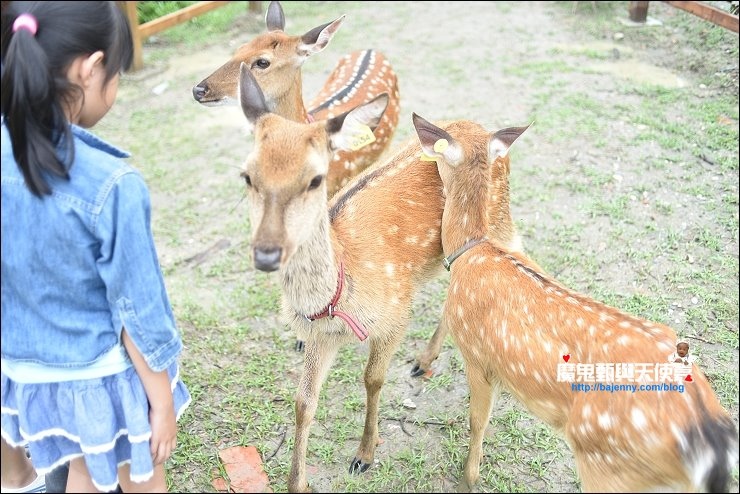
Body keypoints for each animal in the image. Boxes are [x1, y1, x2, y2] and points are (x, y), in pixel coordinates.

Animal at [234, 63, 536, 492]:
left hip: (500, 219)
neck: (339, 296)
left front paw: (364, 454)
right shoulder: (318, 335)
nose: (266, 253)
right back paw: (424, 361)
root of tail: (484, 132)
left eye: (316, 179)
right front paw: (299, 482)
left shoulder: (395, 314)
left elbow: (373, 379)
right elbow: (304, 402)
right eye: (247, 176)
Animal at [416, 113, 740, 494]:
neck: (473, 251)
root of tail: (706, 437)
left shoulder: (478, 359)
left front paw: (467, 479)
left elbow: (476, 422)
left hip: (604, 464)